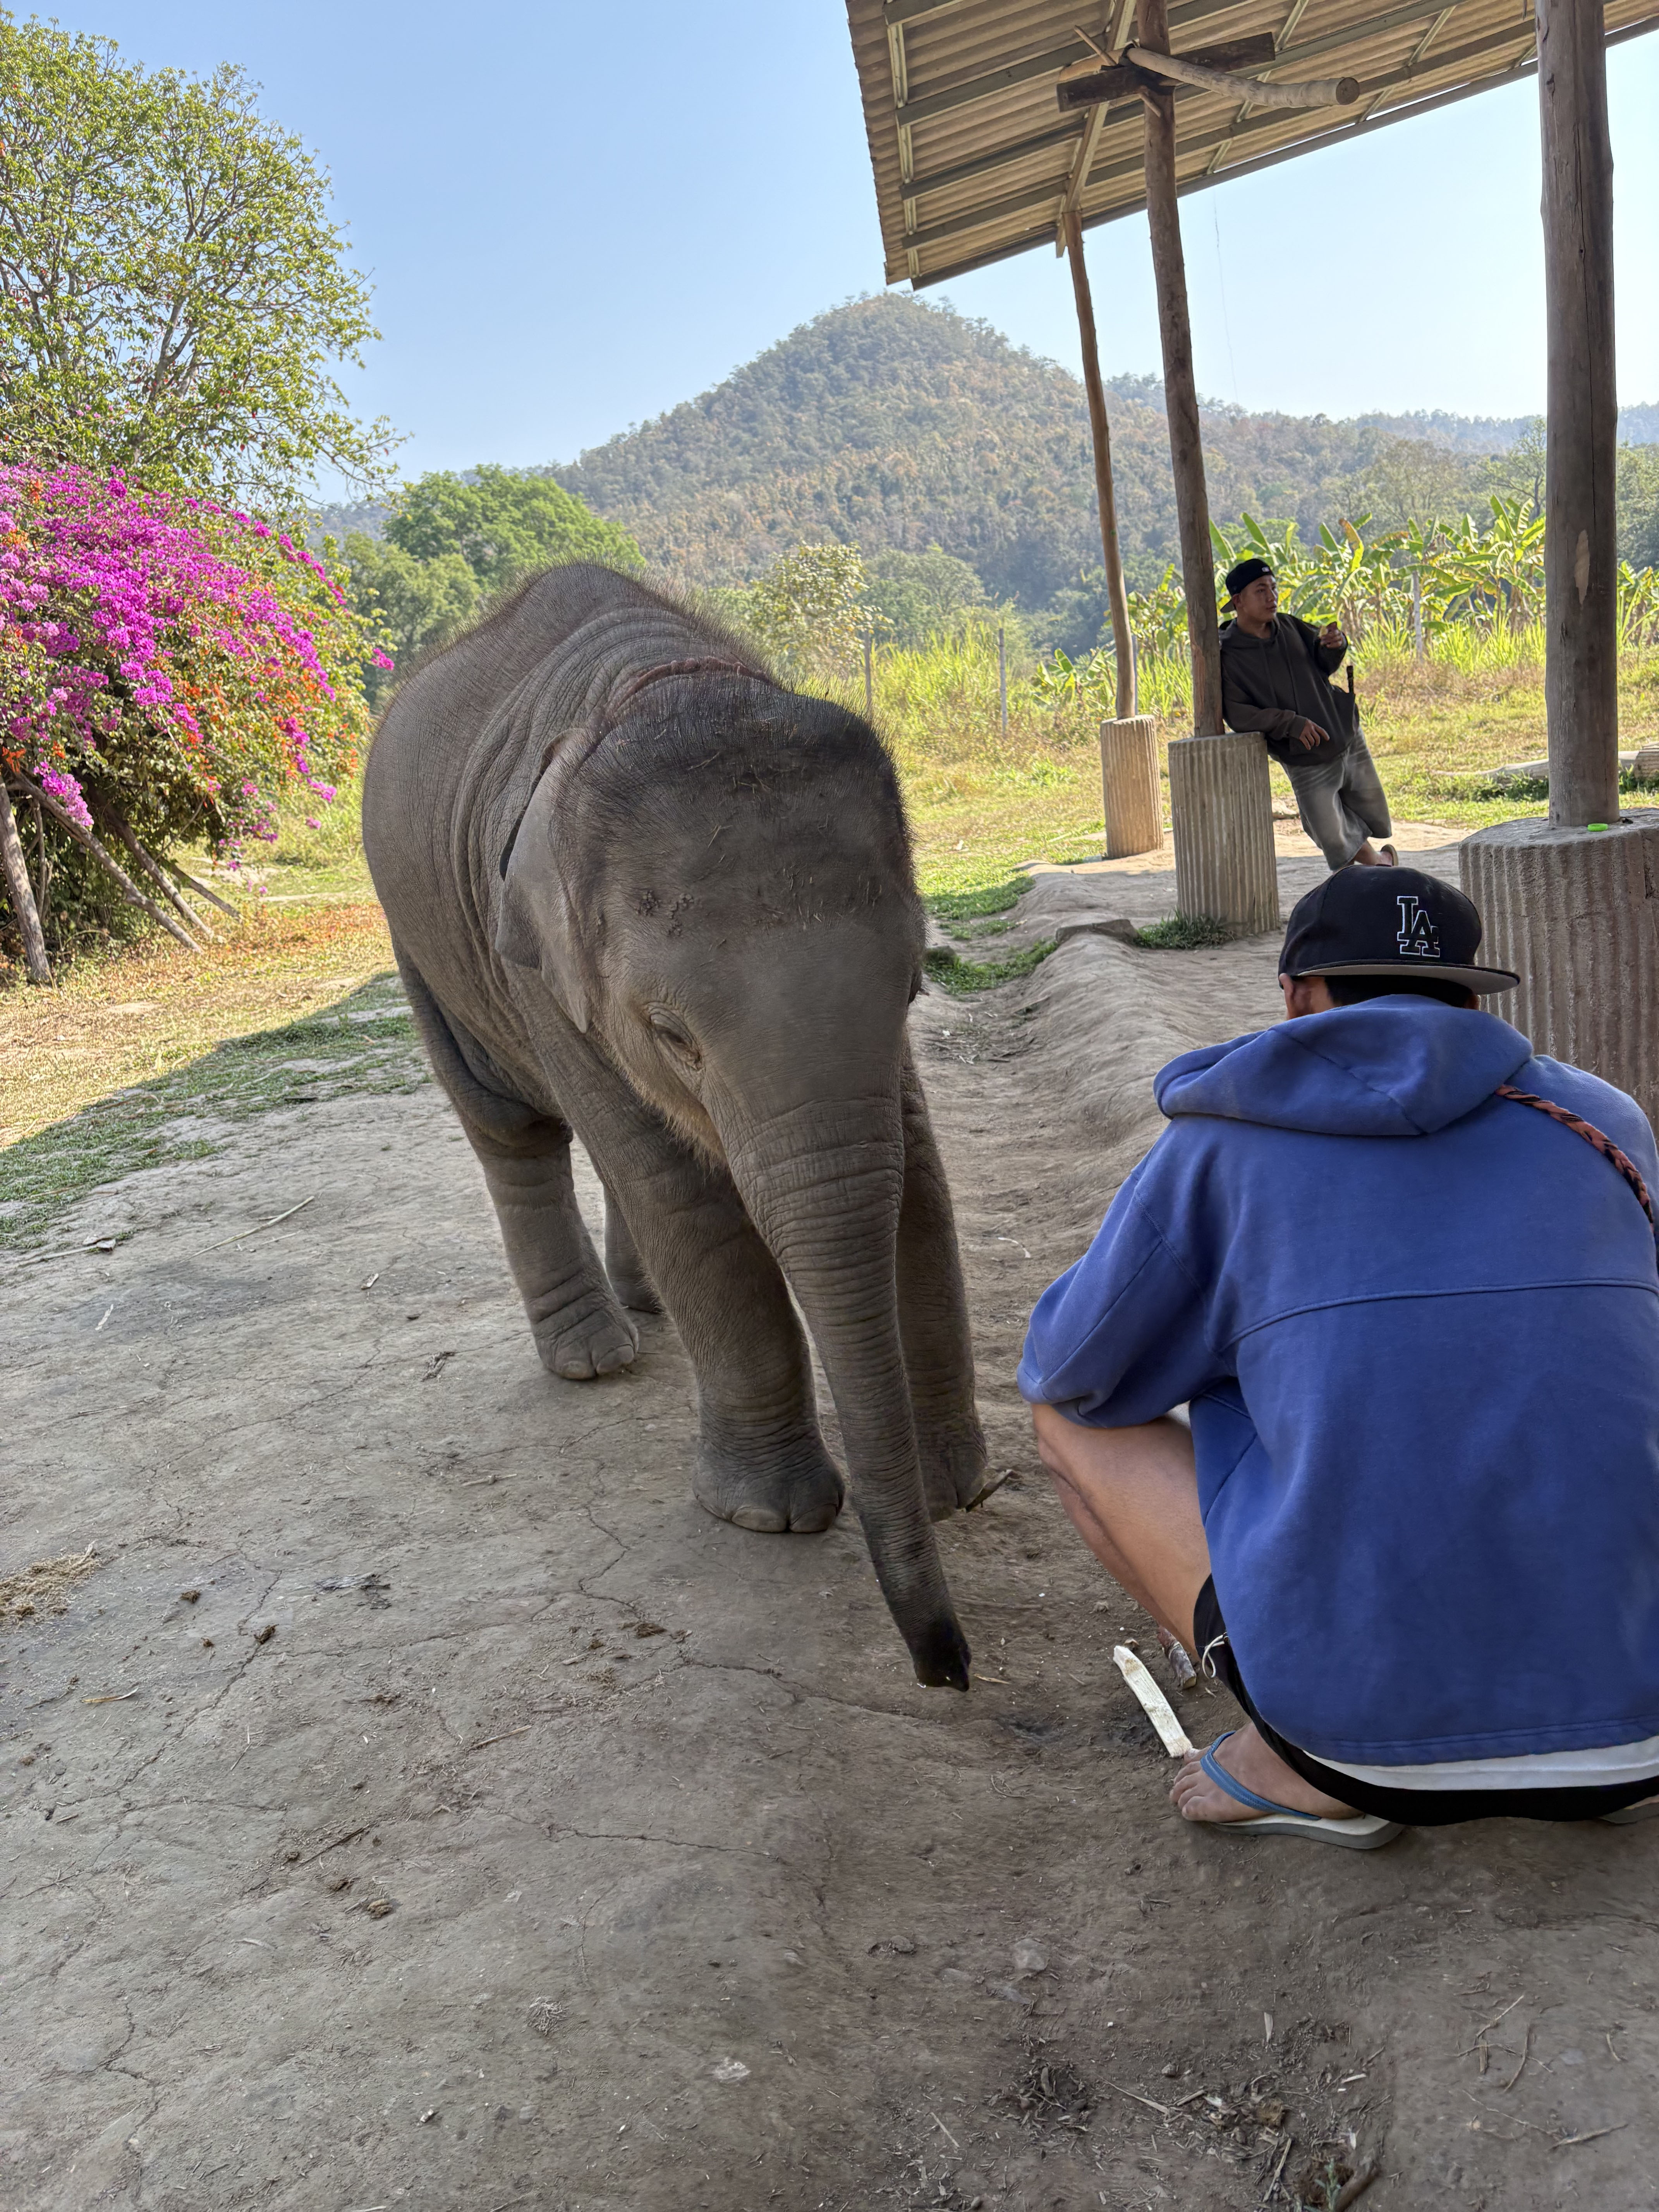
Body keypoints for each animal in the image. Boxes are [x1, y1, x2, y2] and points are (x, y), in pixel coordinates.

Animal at [361, 562, 988, 1689]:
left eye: (917, 978)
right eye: (672, 1034)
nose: (949, 1669)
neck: (663, 684)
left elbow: (917, 1175)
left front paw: (955, 1486)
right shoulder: (544, 973)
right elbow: (684, 1195)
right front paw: (767, 1519)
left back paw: (644, 1309)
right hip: (424, 954)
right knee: (514, 1131)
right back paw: (594, 1358)